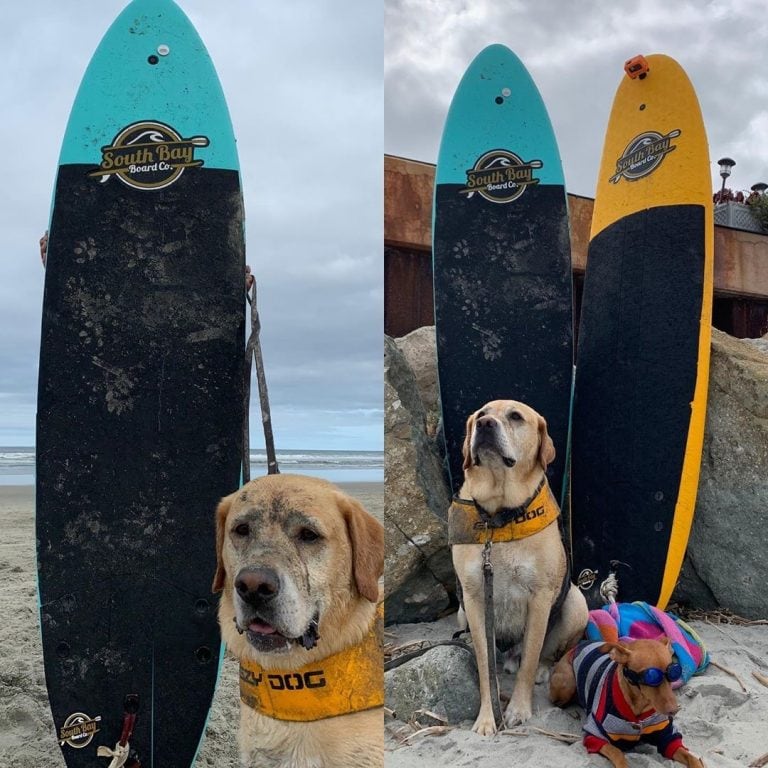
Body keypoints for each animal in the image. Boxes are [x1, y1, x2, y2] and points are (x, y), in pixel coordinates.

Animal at [450, 400, 588, 736]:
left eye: (515, 416)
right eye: (481, 414)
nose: (485, 424)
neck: (499, 518)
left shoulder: (540, 598)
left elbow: (529, 659)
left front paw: (518, 709)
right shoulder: (473, 599)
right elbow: (485, 666)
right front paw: (488, 717)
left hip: (576, 602)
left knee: (543, 653)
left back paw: (541, 667)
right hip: (461, 612)